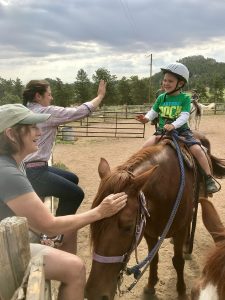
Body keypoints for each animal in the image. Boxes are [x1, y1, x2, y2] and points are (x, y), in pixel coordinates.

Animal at [86, 142, 225, 298]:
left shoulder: (180, 231)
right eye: (94, 222)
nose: (94, 293)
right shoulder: (149, 232)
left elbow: (178, 261)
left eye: (128, 226)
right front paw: (151, 285)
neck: (166, 190)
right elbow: (153, 259)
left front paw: (181, 291)